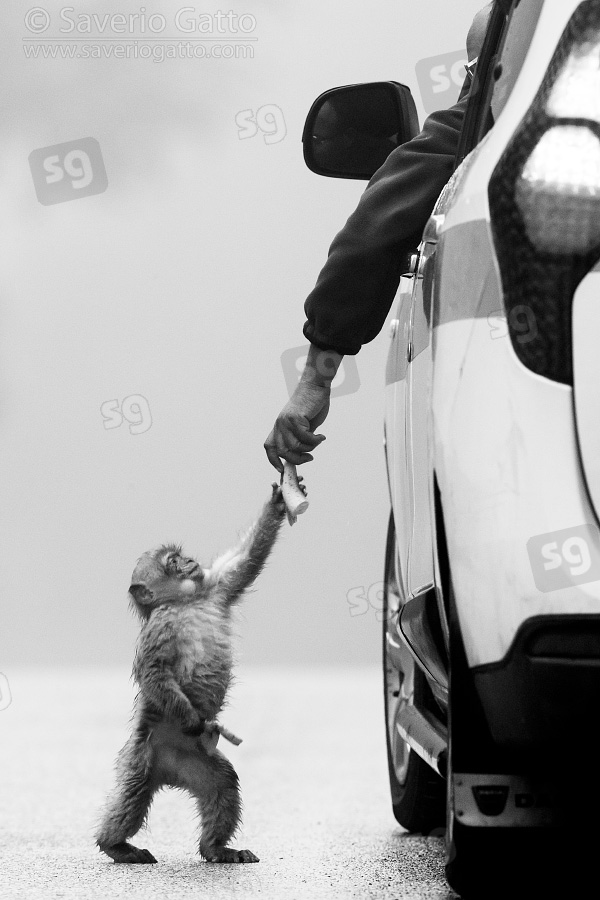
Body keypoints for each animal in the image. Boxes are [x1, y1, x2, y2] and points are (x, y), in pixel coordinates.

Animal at [96, 478, 298, 864]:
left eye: (181, 555)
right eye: (173, 561)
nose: (189, 561)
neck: (185, 602)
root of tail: (171, 771)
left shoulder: (213, 590)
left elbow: (243, 564)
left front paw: (280, 500)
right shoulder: (160, 627)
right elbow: (155, 672)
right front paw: (191, 719)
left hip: (198, 761)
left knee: (223, 784)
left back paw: (215, 848)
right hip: (143, 755)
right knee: (132, 792)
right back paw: (115, 844)